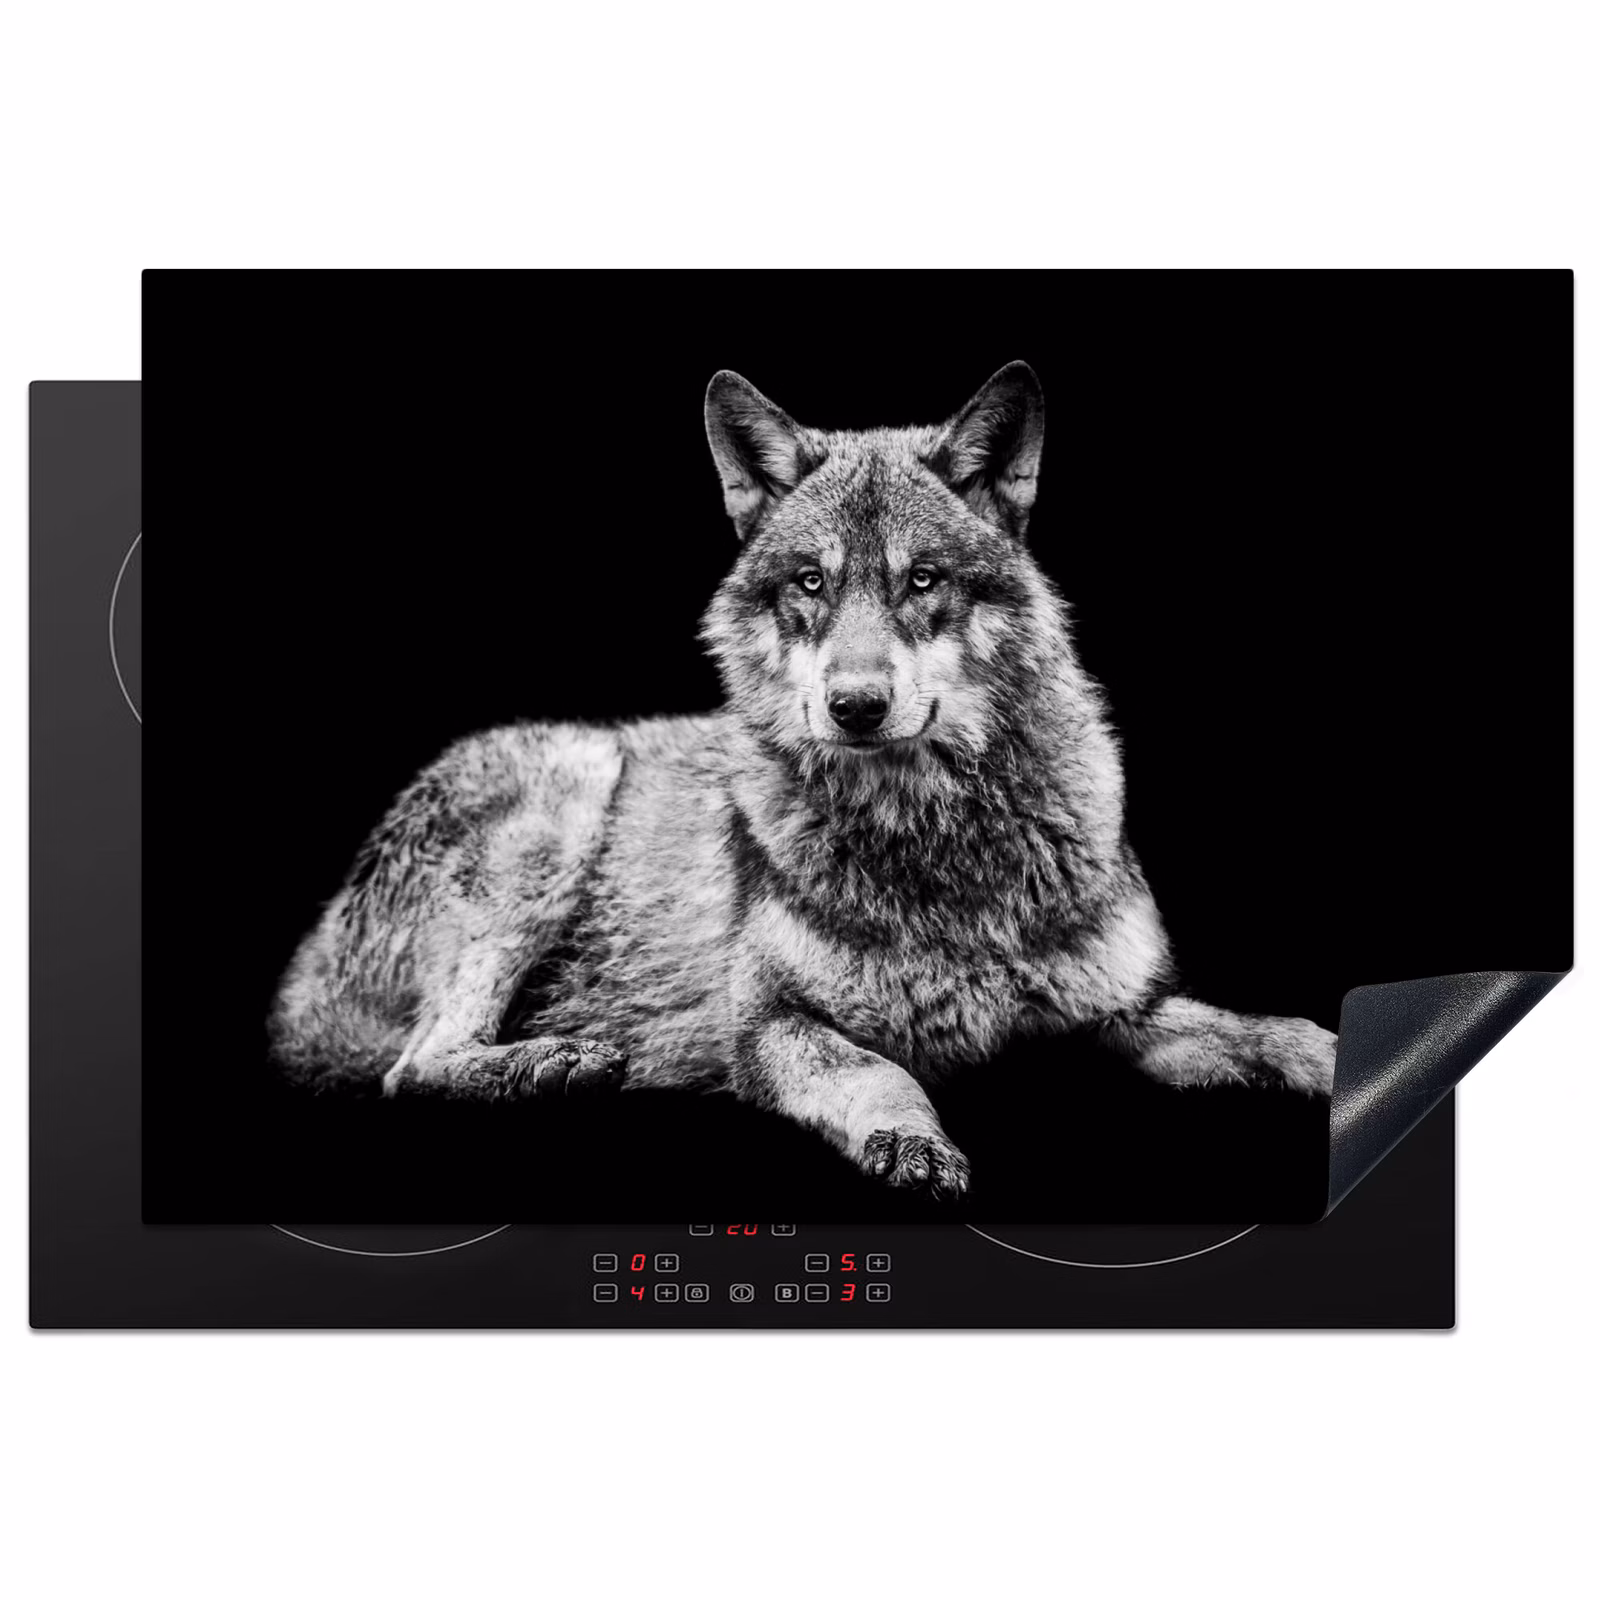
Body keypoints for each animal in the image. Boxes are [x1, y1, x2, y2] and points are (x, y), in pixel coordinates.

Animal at [270, 362, 1336, 1198]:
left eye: (921, 580)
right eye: (812, 583)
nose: (855, 706)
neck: (937, 844)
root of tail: (308, 963)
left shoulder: (1126, 1012)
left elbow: (1263, 1030)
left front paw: (1329, 1055)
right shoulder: (770, 1026)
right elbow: (877, 1072)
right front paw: (909, 1140)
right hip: (565, 800)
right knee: (412, 1069)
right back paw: (555, 1064)